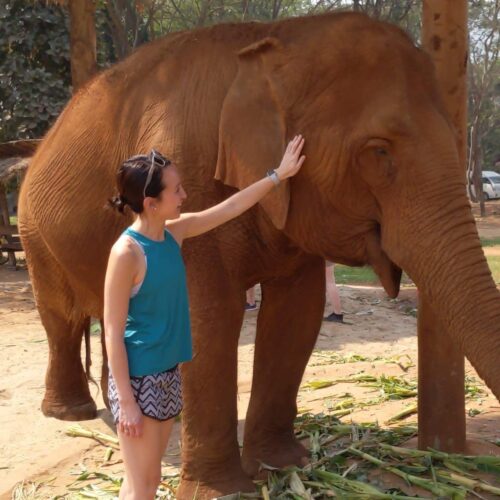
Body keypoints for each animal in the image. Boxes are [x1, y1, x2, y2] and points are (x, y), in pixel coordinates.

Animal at [16, 8, 500, 500]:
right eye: (379, 151)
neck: (274, 40)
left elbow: (296, 313)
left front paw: (282, 464)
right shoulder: (191, 177)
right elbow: (209, 317)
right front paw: (224, 491)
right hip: (32, 229)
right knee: (60, 317)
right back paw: (72, 413)